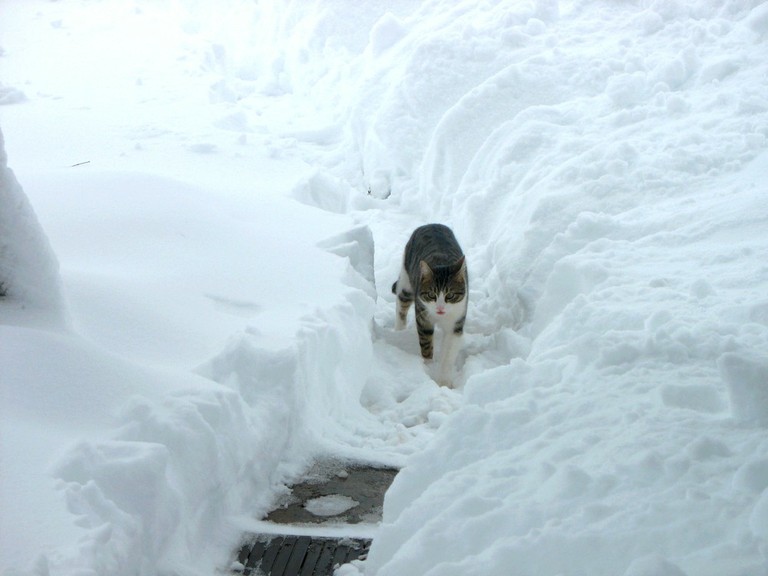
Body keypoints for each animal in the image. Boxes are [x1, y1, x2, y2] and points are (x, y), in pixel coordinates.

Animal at [391, 223, 468, 387]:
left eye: (450, 295)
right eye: (431, 295)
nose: (440, 308)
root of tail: (431, 224)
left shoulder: (456, 319)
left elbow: (449, 351)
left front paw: (444, 382)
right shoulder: (423, 314)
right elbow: (426, 342)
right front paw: (428, 367)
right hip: (407, 281)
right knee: (401, 302)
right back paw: (399, 329)